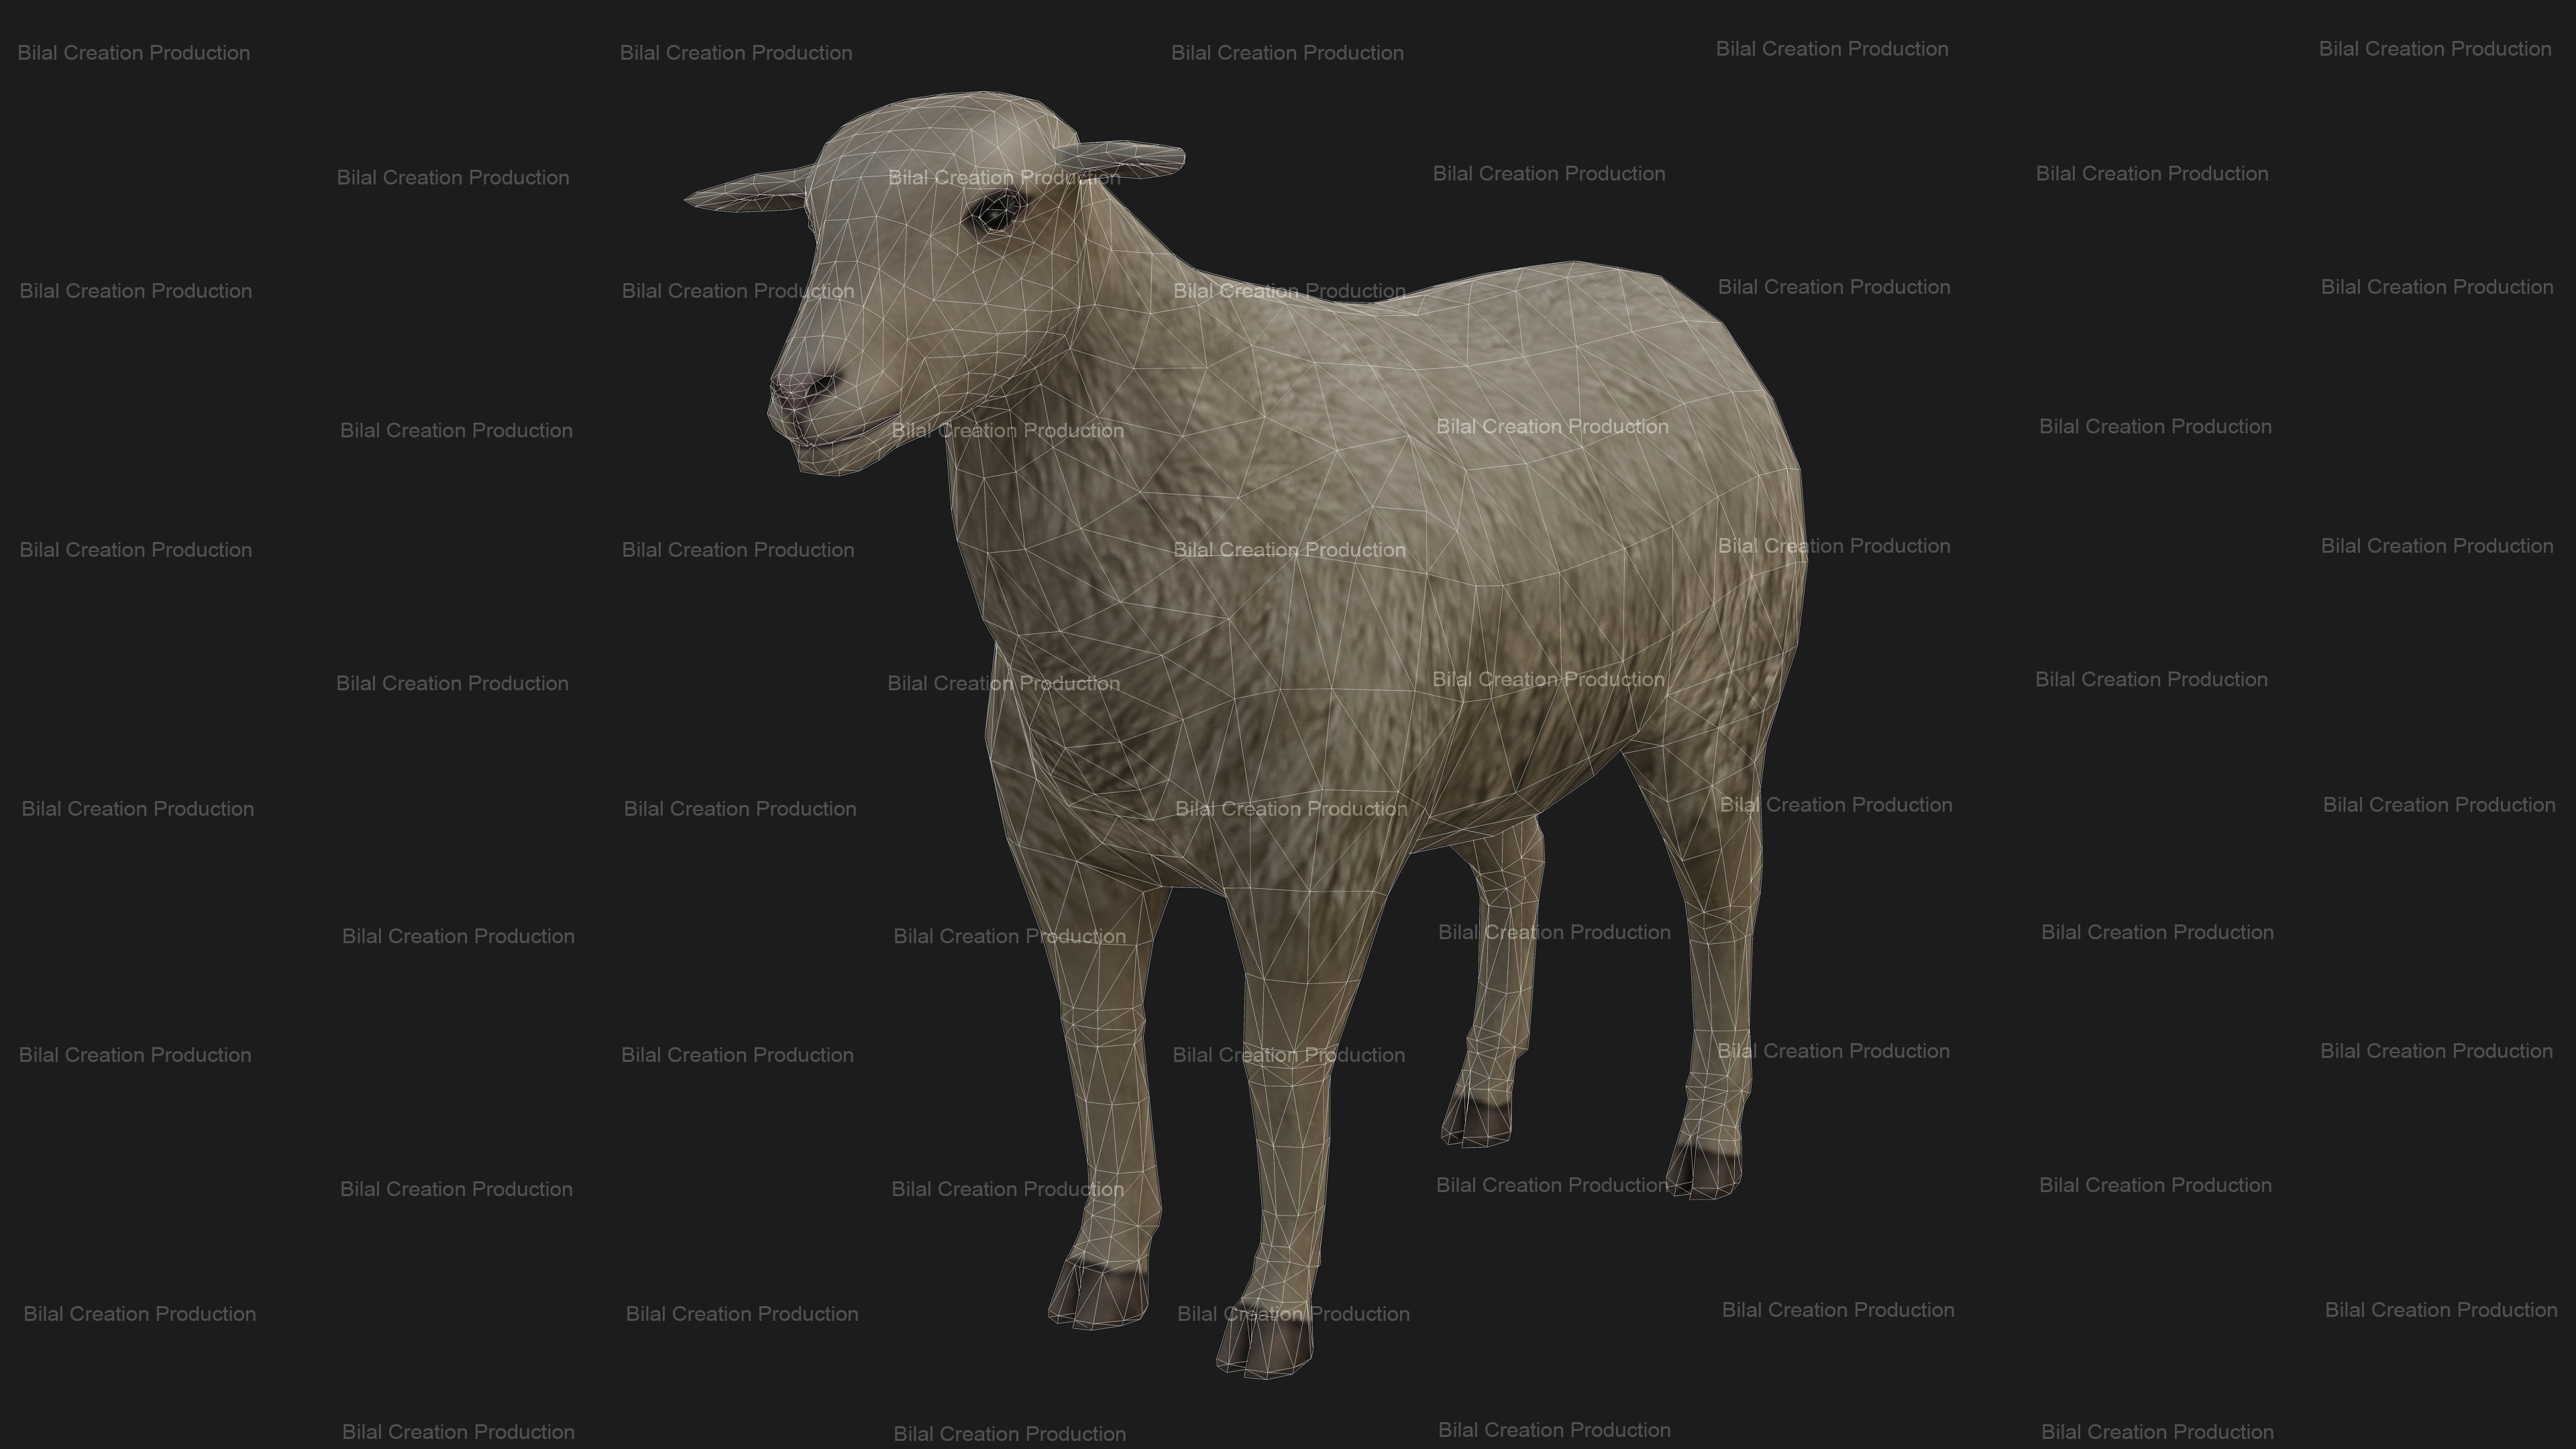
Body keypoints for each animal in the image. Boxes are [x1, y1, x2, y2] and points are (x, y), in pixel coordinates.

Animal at [691, 92, 1807, 1379]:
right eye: (812, 220)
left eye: (998, 210)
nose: (802, 392)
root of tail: (1666, 296)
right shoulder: (1068, 864)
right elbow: (1099, 1051)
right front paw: (1105, 1268)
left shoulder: (1308, 868)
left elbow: (1279, 1072)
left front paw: (1272, 1313)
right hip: (1487, 726)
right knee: (1520, 859)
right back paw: (1483, 1096)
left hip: (1714, 704)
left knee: (1726, 901)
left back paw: (1709, 1143)